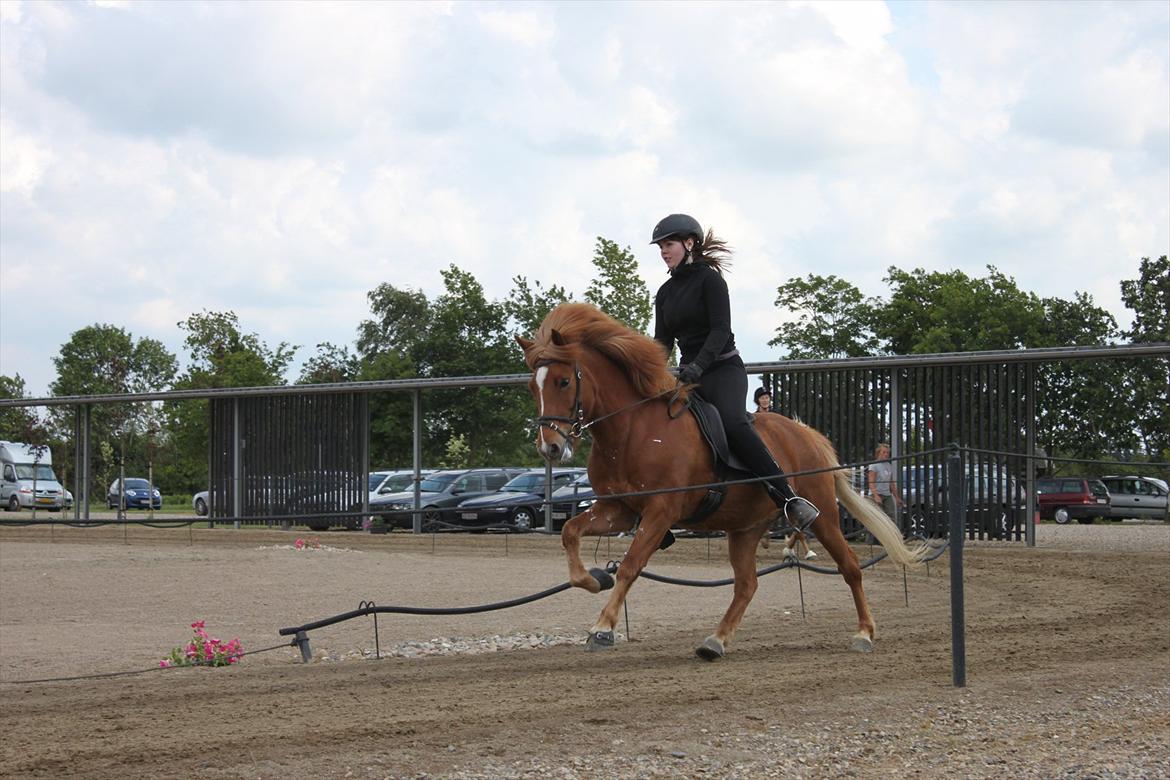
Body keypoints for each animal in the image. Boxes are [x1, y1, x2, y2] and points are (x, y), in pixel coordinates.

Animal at [517, 304, 926, 659]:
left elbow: (632, 565)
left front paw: (603, 628)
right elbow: (570, 531)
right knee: (747, 584)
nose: (550, 447)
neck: (632, 429)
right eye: (532, 388)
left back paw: (864, 633)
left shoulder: (661, 511)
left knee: (850, 566)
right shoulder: (617, 510)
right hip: (744, 528)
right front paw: (594, 579)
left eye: (564, 381)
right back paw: (715, 641)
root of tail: (808, 435)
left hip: (822, 514)